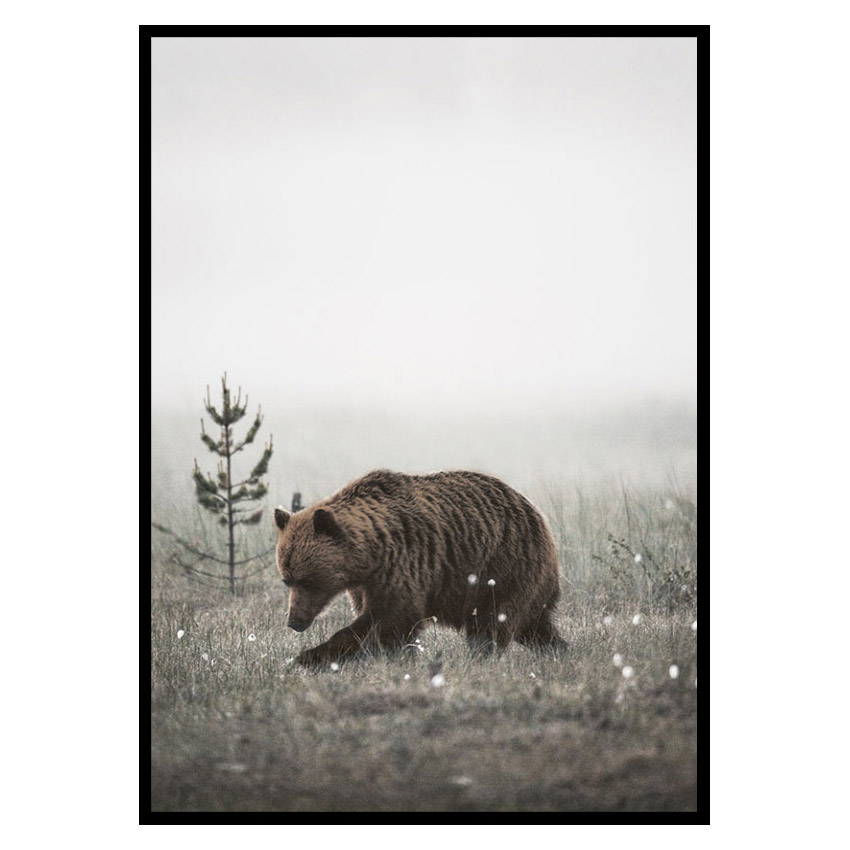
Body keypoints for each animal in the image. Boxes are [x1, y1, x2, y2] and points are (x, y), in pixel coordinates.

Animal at [273, 469, 564, 666]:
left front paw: (309, 656)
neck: (369, 555)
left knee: (492, 622)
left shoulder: (402, 563)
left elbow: (391, 618)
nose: (294, 621)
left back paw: (480, 657)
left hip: (503, 568)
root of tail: (537, 514)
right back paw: (559, 650)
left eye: (309, 580)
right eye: (287, 580)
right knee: (535, 626)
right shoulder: (364, 583)